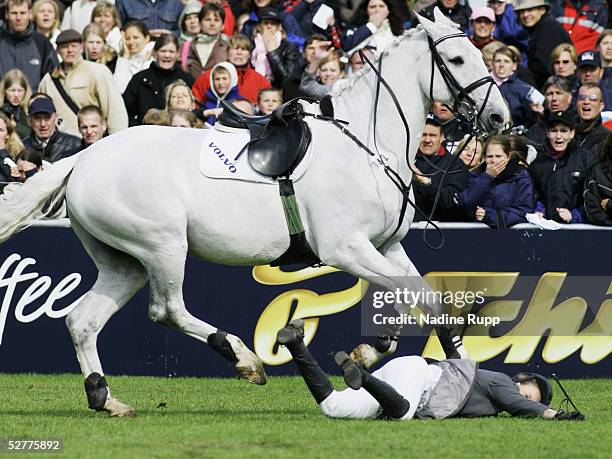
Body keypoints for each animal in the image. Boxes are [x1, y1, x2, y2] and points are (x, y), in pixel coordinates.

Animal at [0, 9, 506, 416]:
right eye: (457, 60)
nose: (500, 117)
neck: (366, 143)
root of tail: (84, 158)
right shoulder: (346, 248)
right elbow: (410, 296)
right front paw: (376, 354)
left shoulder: (388, 245)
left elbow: (423, 299)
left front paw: (378, 350)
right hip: (163, 247)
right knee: (167, 310)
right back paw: (244, 359)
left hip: (125, 262)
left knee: (82, 320)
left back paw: (105, 398)